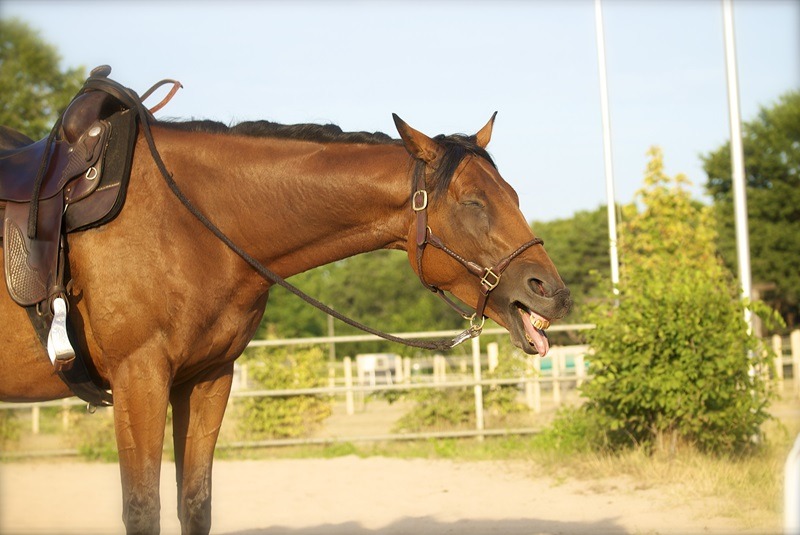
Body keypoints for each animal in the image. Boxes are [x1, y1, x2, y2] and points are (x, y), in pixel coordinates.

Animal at [3, 108, 572, 532]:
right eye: (474, 202)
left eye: (513, 195)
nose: (554, 293)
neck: (184, 222)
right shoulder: (138, 378)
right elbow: (143, 510)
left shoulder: (208, 379)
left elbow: (195, 505)